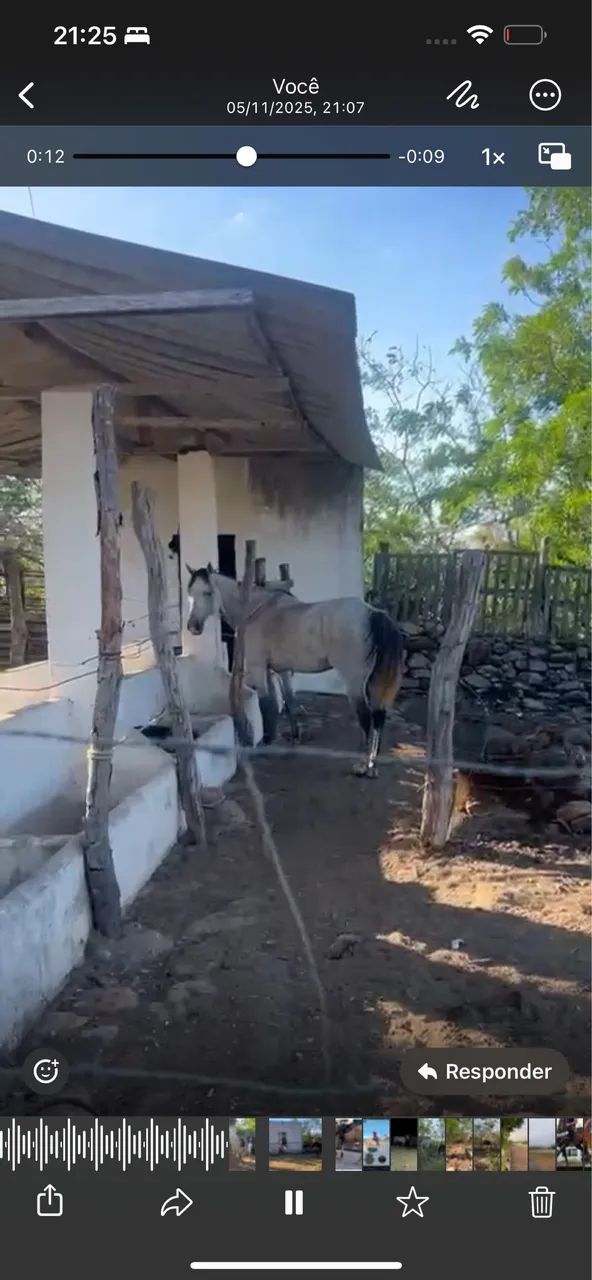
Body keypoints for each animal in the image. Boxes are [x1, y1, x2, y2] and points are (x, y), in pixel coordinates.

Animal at [185, 564, 405, 777]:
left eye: (207, 592)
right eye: (190, 593)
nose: (192, 627)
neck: (254, 610)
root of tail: (373, 613)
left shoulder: (259, 668)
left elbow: (267, 704)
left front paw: (267, 739)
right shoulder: (282, 671)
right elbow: (289, 701)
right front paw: (295, 735)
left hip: (355, 683)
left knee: (366, 719)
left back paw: (361, 765)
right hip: (373, 683)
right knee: (378, 716)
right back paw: (371, 765)